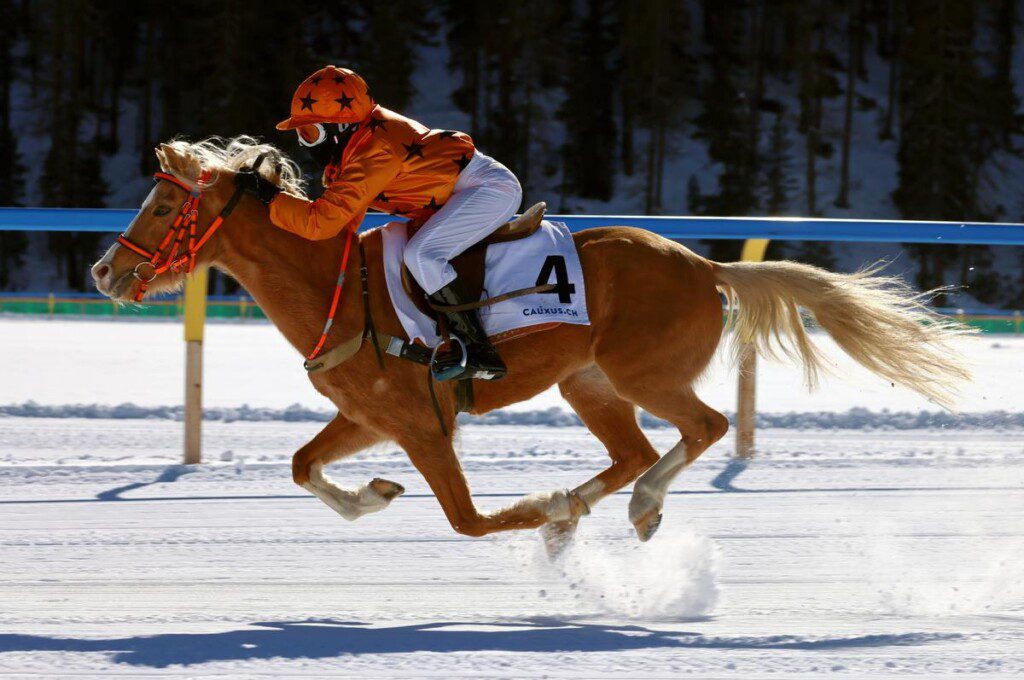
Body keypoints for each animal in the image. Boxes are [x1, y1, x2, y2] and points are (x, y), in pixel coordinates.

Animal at [92, 137, 970, 548]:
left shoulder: (423, 423)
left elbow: (468, 521)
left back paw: (626, 505)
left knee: (704, 427)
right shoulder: (370, 414)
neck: (336, 288)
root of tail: (704, 264)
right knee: (632, 451)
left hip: (643, 373)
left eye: (164, 207)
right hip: (588, 383)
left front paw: (542, 508)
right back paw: (601, 505)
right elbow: (304, 465)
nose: (105, 270)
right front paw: (374, 493)